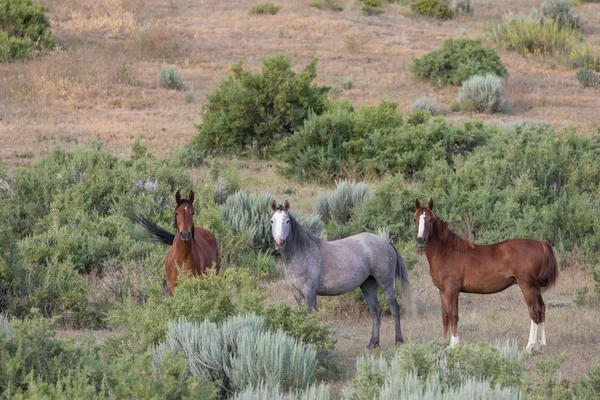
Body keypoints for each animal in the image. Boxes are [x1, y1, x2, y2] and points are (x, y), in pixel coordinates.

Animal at [272, 202, 412, 348]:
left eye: (287, 221)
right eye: (272, 221)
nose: (279, 242)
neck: (302, 253)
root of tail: (387, 243)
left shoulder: (310, 292)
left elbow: (311, 316)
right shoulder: (297, 293)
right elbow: (303, 317)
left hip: (386, 284)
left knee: (394, 308)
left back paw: (399, 341)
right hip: (368, 285)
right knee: (376, 310)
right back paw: (373, 343)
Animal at [412, 198, 556, 354]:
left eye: (430, 220)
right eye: (415, 219)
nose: (420, 240)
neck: (446, 252)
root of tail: (541, 244)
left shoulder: (452, 290)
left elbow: (453, 315)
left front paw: (453, 344)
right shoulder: (442, 291)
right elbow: (445, 317)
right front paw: (442, 343)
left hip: (527, 286)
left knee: (534, 312)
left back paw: (530, 347)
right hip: (535, 288)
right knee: (541, 309)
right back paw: (541, 345)